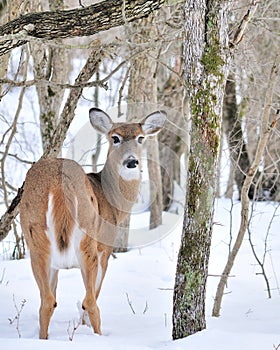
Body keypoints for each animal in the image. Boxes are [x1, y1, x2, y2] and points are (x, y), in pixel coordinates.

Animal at [19, 107, 166, 340]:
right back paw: (99, 337)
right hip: (87, 240)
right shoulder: (105, 248)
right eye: (115, 138)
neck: (111, 200)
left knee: (47, 301)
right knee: (89, 301)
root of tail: (59, 183)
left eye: (140, 138)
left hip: (35, 240)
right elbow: (92, 296)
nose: (131, 161)